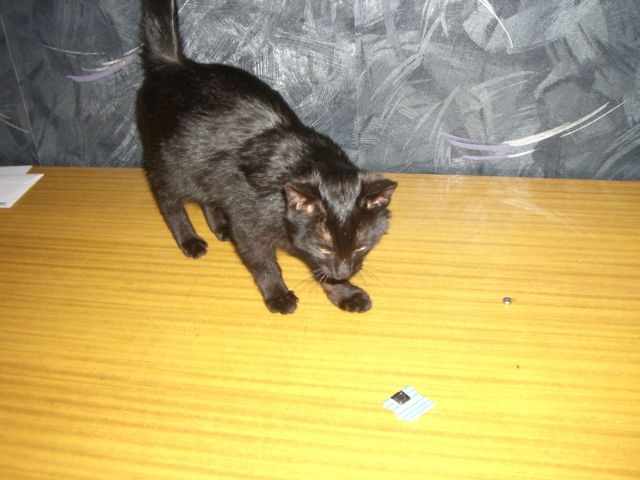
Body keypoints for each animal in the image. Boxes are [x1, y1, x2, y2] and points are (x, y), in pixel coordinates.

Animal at [136, 0, 397, 314]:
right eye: (324, 247)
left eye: (361, 246)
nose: (344, 271)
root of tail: (174, 64)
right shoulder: (250, 225)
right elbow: (264, 264)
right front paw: (278, 294)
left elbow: (318, 269)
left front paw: (343, 292)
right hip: (168, 167)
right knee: (169, 203)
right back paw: (189, 240)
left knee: (208, 196)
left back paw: (221, 226)